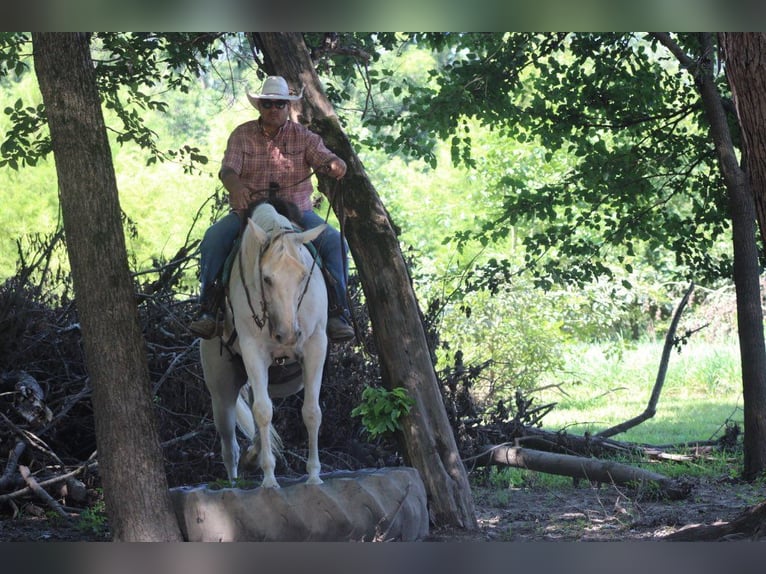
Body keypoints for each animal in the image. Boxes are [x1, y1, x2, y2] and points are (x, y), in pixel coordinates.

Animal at [199, 202, 329, 487]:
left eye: (303, 276)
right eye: (267, 279)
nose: (288, 335)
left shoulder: (316, 346)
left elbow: (312, 411)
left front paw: (314, 476)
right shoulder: (253, 351)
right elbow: (263, 411)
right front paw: (269, 479)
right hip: (221, 392)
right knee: (230, 445)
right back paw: (236, 481)